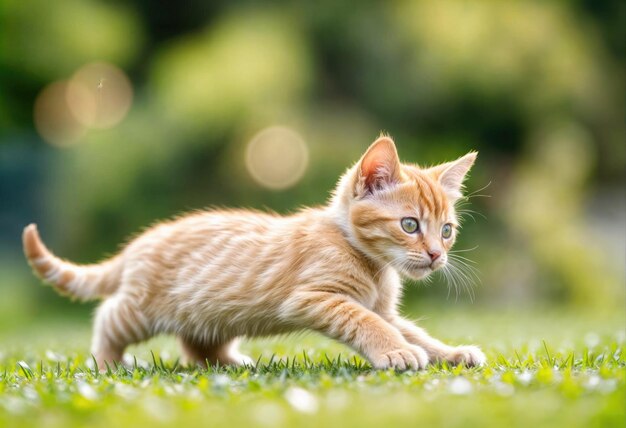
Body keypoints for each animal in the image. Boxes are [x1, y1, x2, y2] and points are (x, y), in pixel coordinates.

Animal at [23, 138, 482, 372]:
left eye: (446, 230)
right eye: (410, 225)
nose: (436, 255)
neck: (369, 262)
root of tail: (141, 242)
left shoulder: (383, 308)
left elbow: (412, 330)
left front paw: (450, 353)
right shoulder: (315, 297)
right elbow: (367, 322)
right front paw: (394, 352)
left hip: (210, 310)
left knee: (196, 344)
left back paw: (230, 362)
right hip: (141, 309)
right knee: (108, 317)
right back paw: (106, 363)